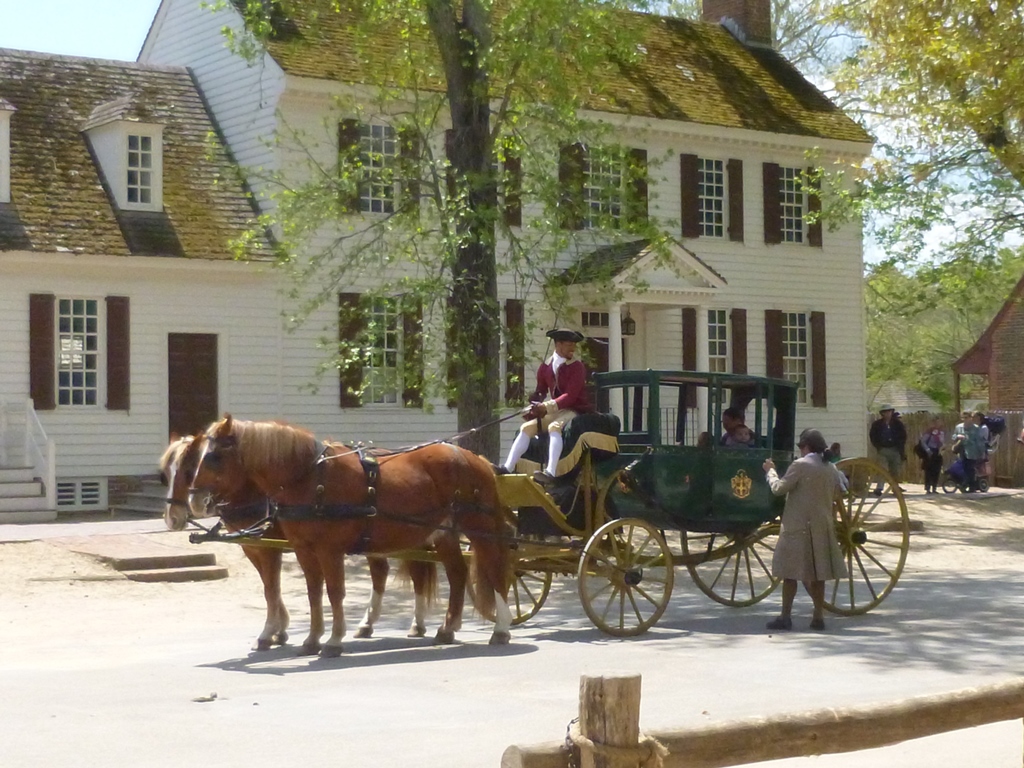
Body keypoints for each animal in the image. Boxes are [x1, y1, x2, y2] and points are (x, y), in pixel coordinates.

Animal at [159, 435, 439, 650]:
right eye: (166, 475)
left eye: (189, 471)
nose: (172, 518)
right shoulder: (254, 548)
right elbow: (269, 587)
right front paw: (280, 629)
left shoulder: (270, 548)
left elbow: (271, 588)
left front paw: (270, 632)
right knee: (384, 572)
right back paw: (369, 624)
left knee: (415, 573)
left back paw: (416, 623)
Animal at [190, 415, 513, 656]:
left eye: (214, 456)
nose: (195, 500)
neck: (310, 479)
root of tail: (477, 459)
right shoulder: (303, 549)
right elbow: (312, 592)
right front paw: (311, 639)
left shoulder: (326, 549)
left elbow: (332, 591)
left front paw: (332, 640)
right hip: (442, 533)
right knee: (457, 573)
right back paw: (446, 628)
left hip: (480, 528)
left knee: (494, 570)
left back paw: (501, 628)